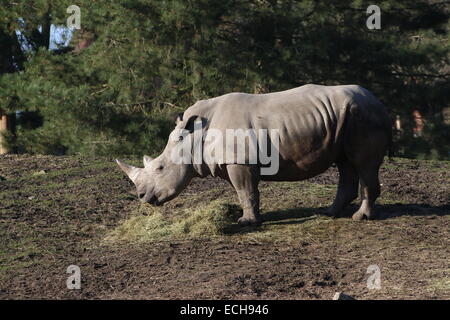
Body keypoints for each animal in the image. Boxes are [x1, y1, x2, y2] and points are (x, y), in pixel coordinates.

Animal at [118, 84, 392, 225]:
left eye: (160, 168)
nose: (141, 196)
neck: (195, 136)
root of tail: (377, 100)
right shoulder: (233, 160)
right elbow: (245, 192)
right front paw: (250, 217)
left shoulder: (240, 160)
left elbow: (245, 190)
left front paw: (246, 223)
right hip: (345, 118)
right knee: (346, 163)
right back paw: (329, 213)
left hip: (363, 114)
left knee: (363, 163)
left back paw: (360, 218)